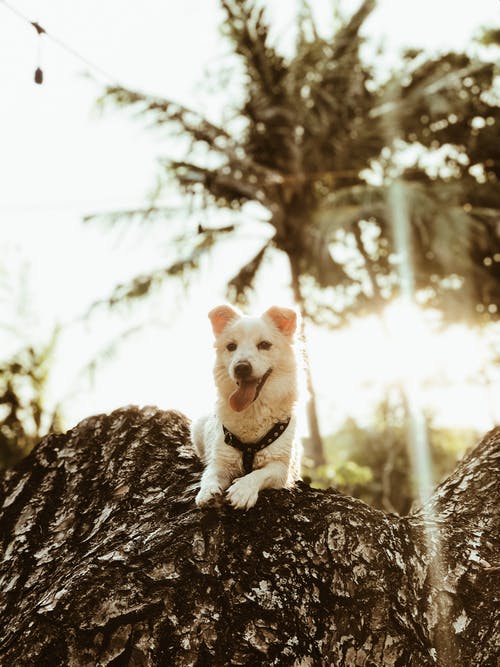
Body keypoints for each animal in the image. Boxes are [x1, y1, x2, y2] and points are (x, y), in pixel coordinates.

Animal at [190, 306, 300, 508]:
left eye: (264, 344)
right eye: (231, 346)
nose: (241, 367)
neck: (252, 409)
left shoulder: (281, 468)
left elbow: (260, 473)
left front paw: (243, 490)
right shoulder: (221, 460)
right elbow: (209, 474)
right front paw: (207, 491)